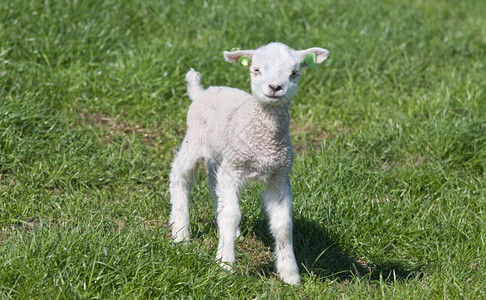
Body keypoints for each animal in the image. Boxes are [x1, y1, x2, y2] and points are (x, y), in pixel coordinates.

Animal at [170, 41, 330, 284]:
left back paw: (230, 234)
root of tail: (203, 91)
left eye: (294, 73)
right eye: (256, 70)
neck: (264, 143)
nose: (275, 87)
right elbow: (231, 215)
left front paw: (290, 274)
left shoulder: (278, 175)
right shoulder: (234, 170)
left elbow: (283, 224)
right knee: (181, 176)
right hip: (195, 139)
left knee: (215, 188)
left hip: (220, 157)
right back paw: (180, 235)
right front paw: (225, 265)